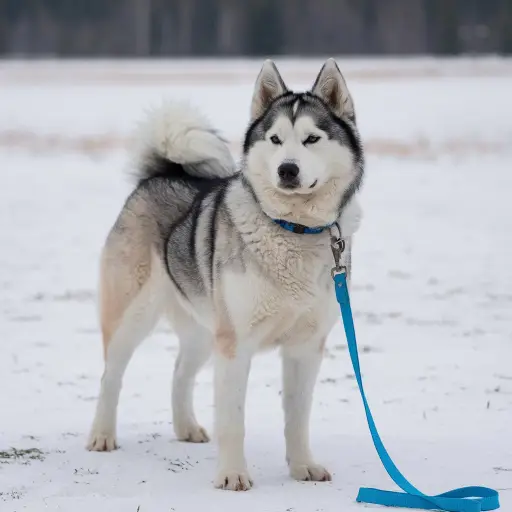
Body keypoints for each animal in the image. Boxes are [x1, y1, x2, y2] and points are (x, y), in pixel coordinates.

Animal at [86, 59, 364, 492]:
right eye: (275, 139)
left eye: (312, 139)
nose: (287, 169)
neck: (293, 229)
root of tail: (164, 173)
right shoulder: (236, 345)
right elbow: (233, 419)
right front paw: (233, 475)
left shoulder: (305, 346)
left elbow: (297, 417)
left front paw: (303, 467)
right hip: (134, 317)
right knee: (110, 376)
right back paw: (101, 435)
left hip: (205, 329)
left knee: (180, 373)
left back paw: (186, 428)